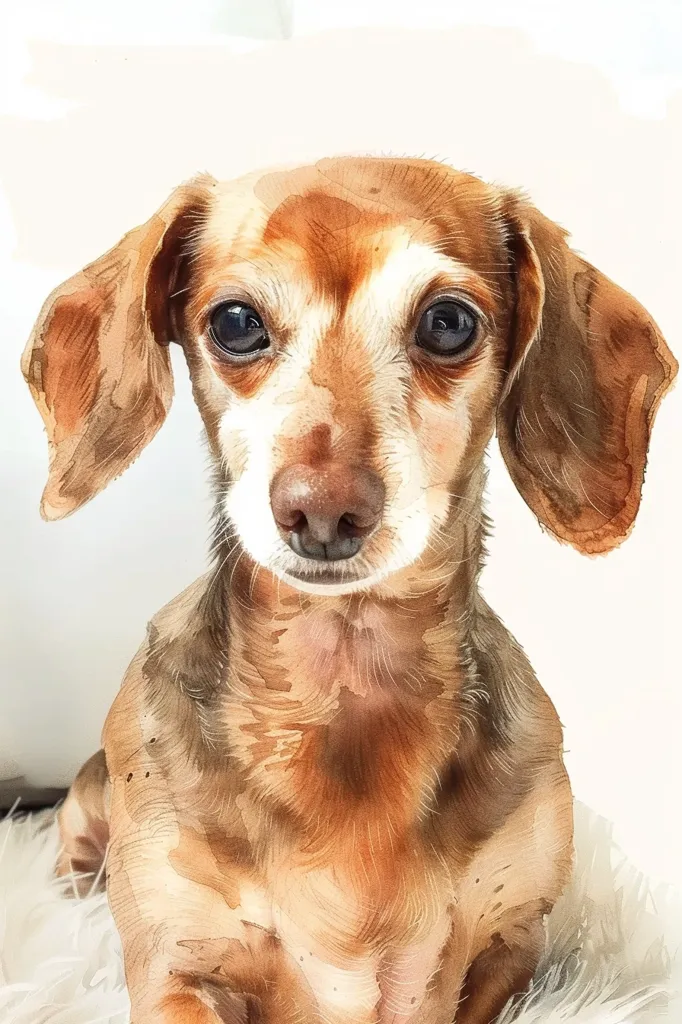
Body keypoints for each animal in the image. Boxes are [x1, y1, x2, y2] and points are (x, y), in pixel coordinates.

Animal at [22, 153, 675, 1024]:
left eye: (447, 323)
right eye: (236, 323)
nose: (324, 511)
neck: (343, 680)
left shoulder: (513, 949)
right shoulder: (172, 967)